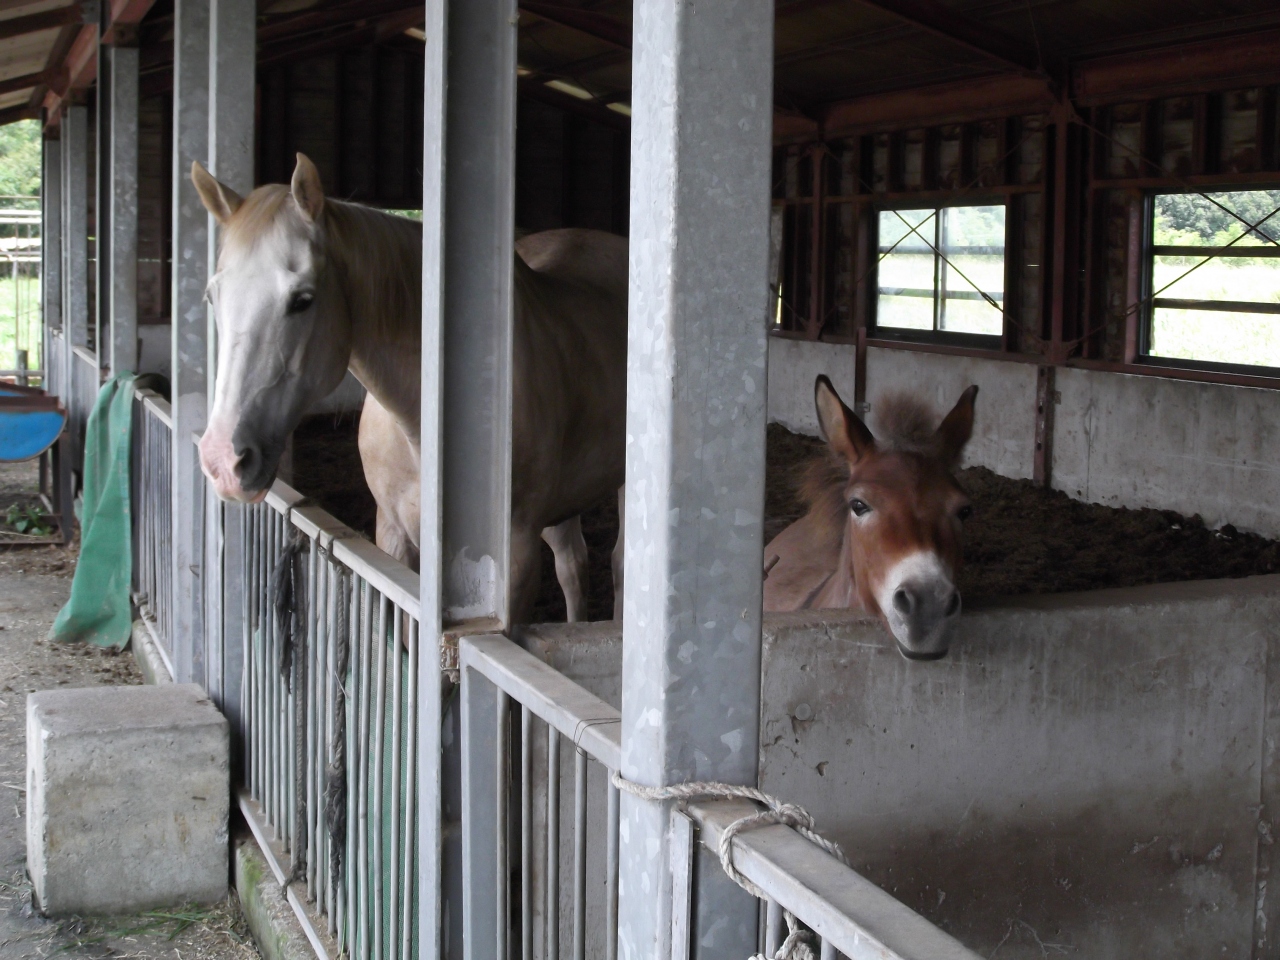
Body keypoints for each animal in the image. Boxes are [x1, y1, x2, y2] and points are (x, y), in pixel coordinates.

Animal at [193, 153, 628, 624]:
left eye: (302, 299)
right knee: (572, 562)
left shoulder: (513, 562)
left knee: (617, 564)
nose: (224, 461)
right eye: (213, 297)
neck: (420, 426)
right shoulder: (395, 541)